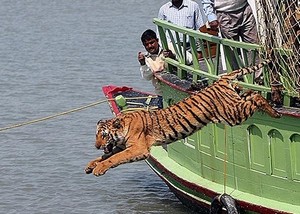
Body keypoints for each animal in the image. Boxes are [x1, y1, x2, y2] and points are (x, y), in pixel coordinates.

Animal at [85, 59, 282, 176]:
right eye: (96, 135)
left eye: (103, 135)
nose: (96, 146)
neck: (122, 129)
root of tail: (221, 79)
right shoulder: (123, 146)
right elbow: (106, 156)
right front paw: (91, 164)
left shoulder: (138, 149)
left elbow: (114, 158)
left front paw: (99, 168)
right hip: (234, 104)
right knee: (251, 93)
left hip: (233, 114)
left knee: (256, 98)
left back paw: (276, 112)